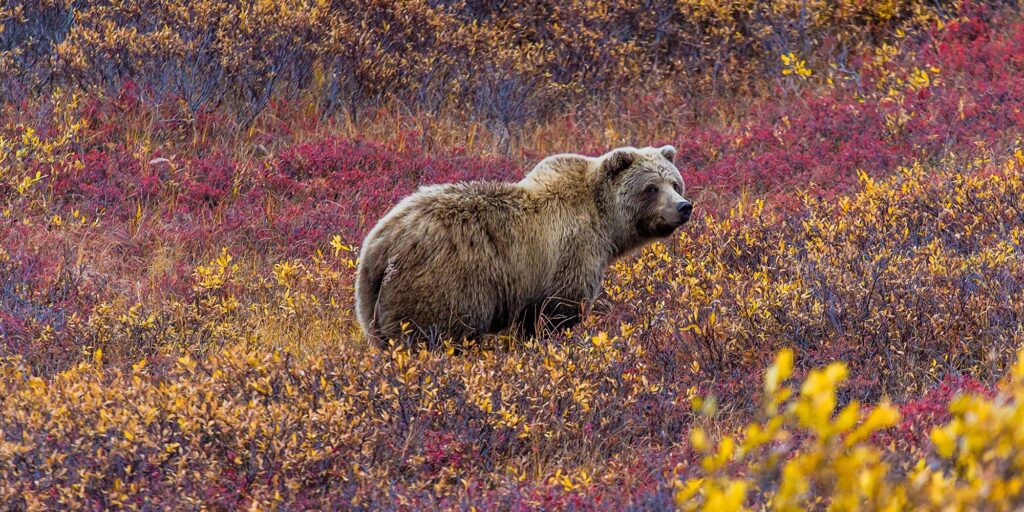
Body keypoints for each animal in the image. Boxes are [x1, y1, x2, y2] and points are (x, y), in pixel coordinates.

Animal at [354, 145, 692, 344]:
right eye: (651, 187)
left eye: (675, 183)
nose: (683, 206)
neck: (605, 221)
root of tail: (381, 244)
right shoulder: (570, 254)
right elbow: (557, 312)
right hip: (442, 283)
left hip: (371, 302)